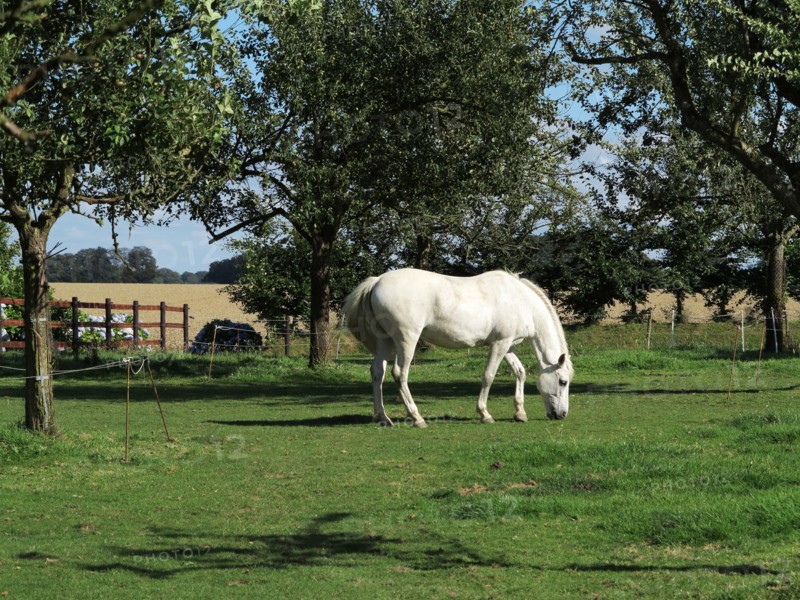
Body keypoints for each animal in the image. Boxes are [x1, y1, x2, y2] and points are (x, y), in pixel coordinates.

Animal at [342, 268, 573, 428]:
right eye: (563, 381)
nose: (562, 415)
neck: (520, 301)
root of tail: (377, 281)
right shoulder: (499, 344)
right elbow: (488, 376)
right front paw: (484, 414)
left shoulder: (507, 346)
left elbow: (520, 372)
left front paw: (520, 413)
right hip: (406, 340)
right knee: (399, 374)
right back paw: (417, 418)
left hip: (385, 342)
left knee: (377, 372)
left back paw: (383, 417)